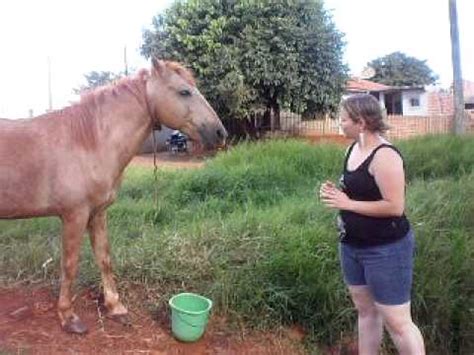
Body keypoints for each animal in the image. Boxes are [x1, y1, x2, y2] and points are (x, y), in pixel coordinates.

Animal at [0, 58, 228, 334]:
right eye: (184, 92)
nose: (220, 133)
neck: (87, 141)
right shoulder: (74, 215)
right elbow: (69, 264)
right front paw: (68, 316)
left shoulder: (97, 213)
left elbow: (104, 258)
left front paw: (115, 307)